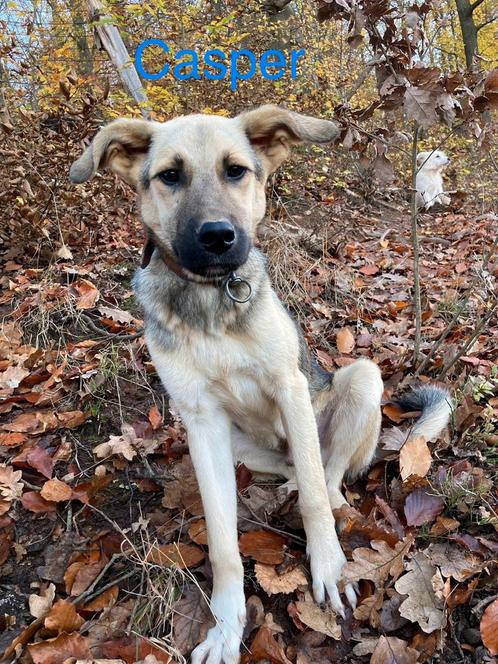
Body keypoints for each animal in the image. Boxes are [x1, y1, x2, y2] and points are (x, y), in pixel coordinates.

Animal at [71, 106, 456, 660]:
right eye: (170, 176)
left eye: (236, 170)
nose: (217, 237)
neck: (212, 300)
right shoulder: (202, 422)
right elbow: (223, 543)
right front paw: (226, 626)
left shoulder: (289, 388)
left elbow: (315, 499)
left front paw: (328, 567)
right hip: (237, 446)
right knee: (296, 469)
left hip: (360, 380)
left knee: (328, 479)